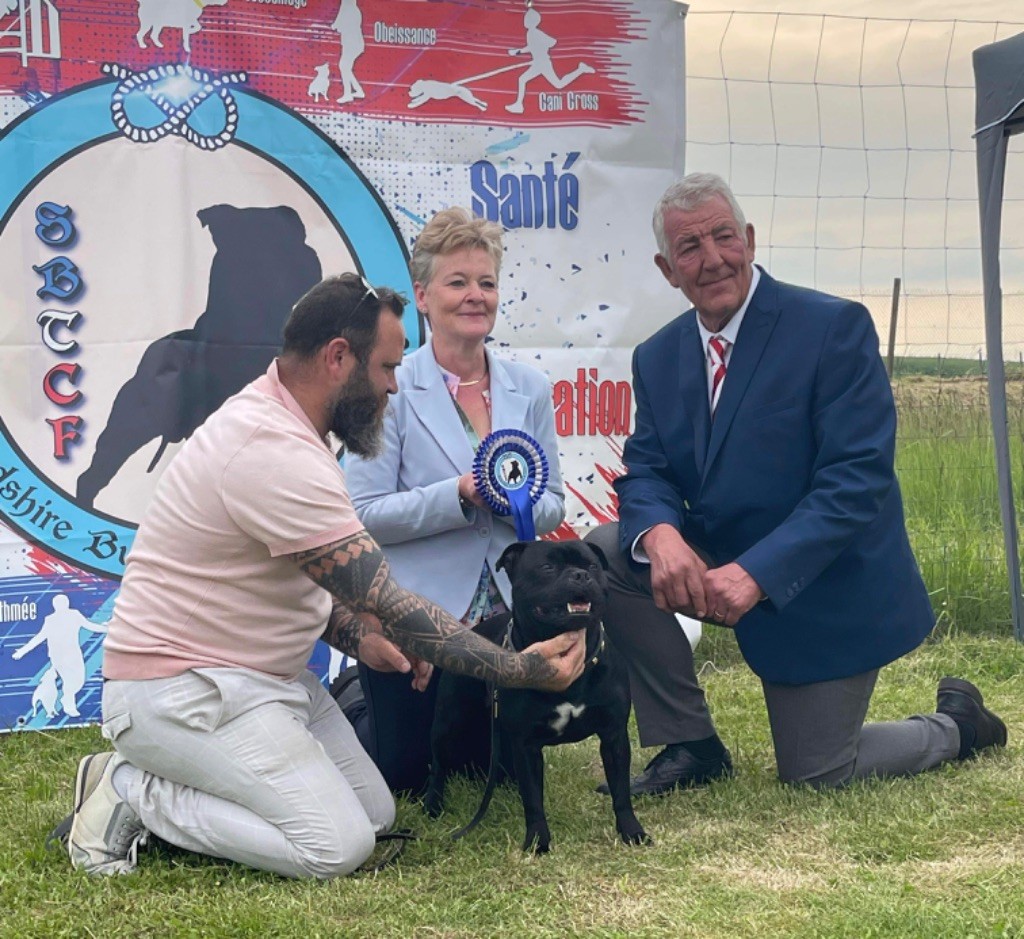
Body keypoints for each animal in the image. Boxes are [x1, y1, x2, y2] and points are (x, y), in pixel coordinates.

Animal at [421, 536, 647, 851]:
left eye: (591, 565)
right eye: (547, 567)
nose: (580, 575)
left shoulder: (613, 735)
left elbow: (621, 791)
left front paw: (631, 831)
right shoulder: (526, 744)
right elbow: (533, 800)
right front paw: (538, 841)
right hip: (449, 724)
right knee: (439, 765)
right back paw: (433, 804)